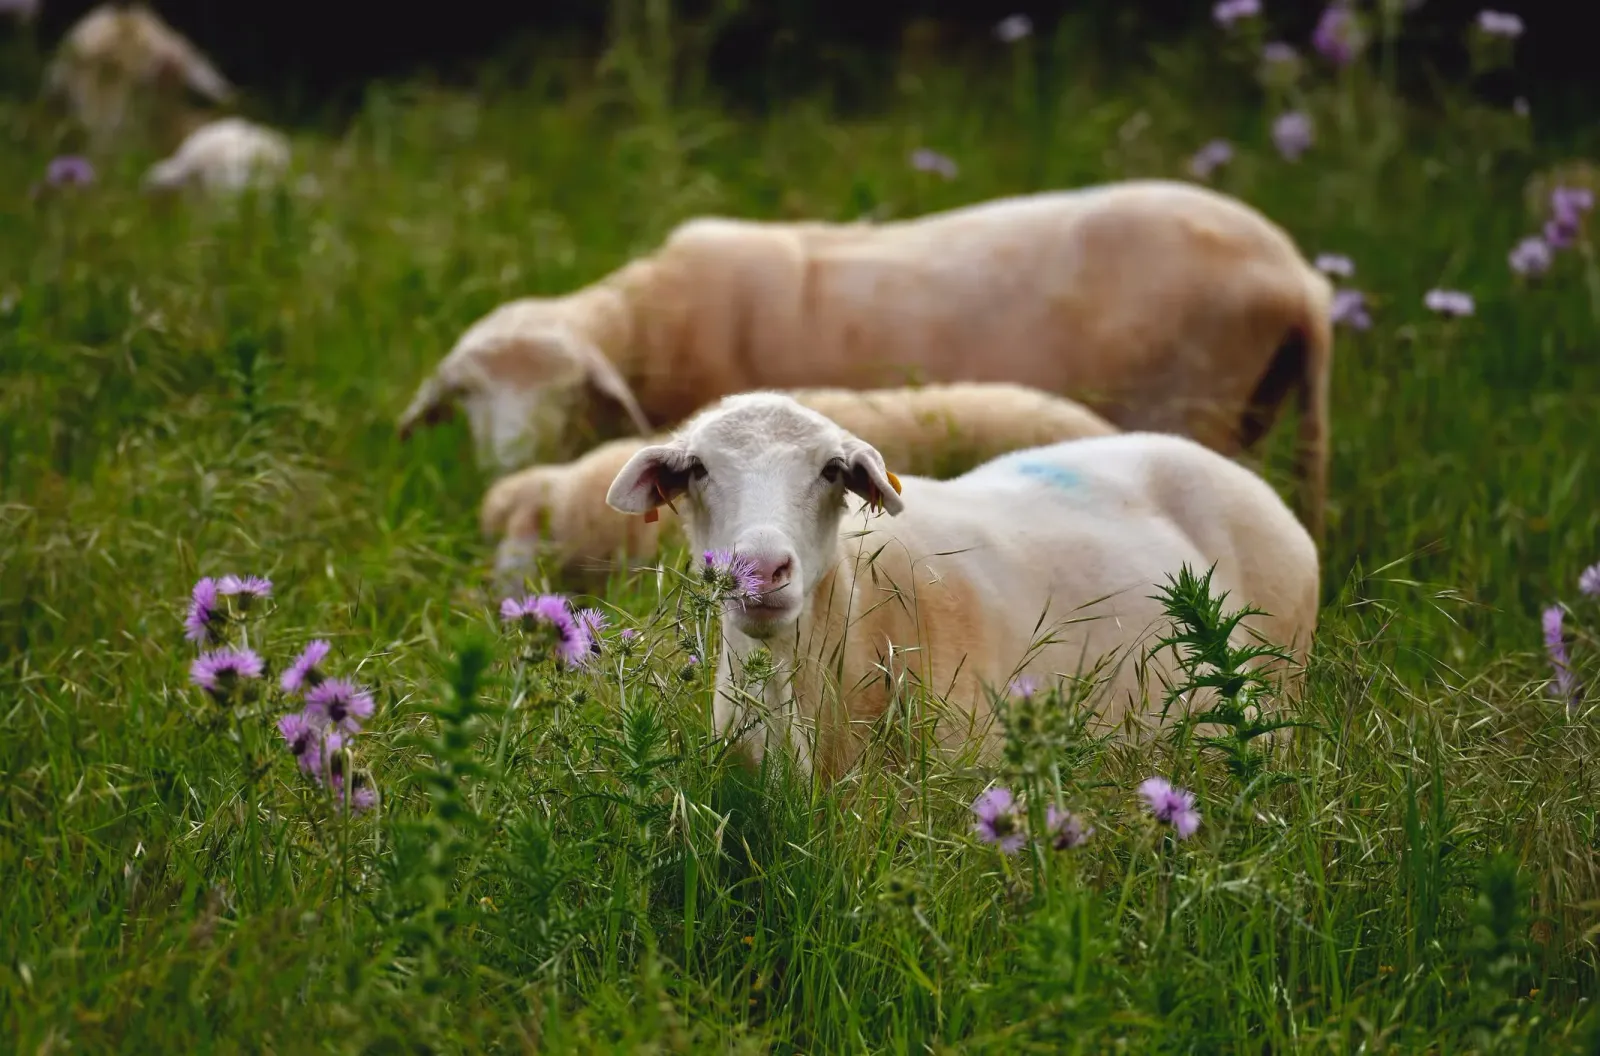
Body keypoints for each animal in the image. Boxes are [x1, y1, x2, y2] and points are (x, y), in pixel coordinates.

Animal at [398, 180, 1335, 542]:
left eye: (563, 392)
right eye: (467, 395)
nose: (507, 462)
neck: (651, 325)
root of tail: (1299, 280)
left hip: (1194, 402)